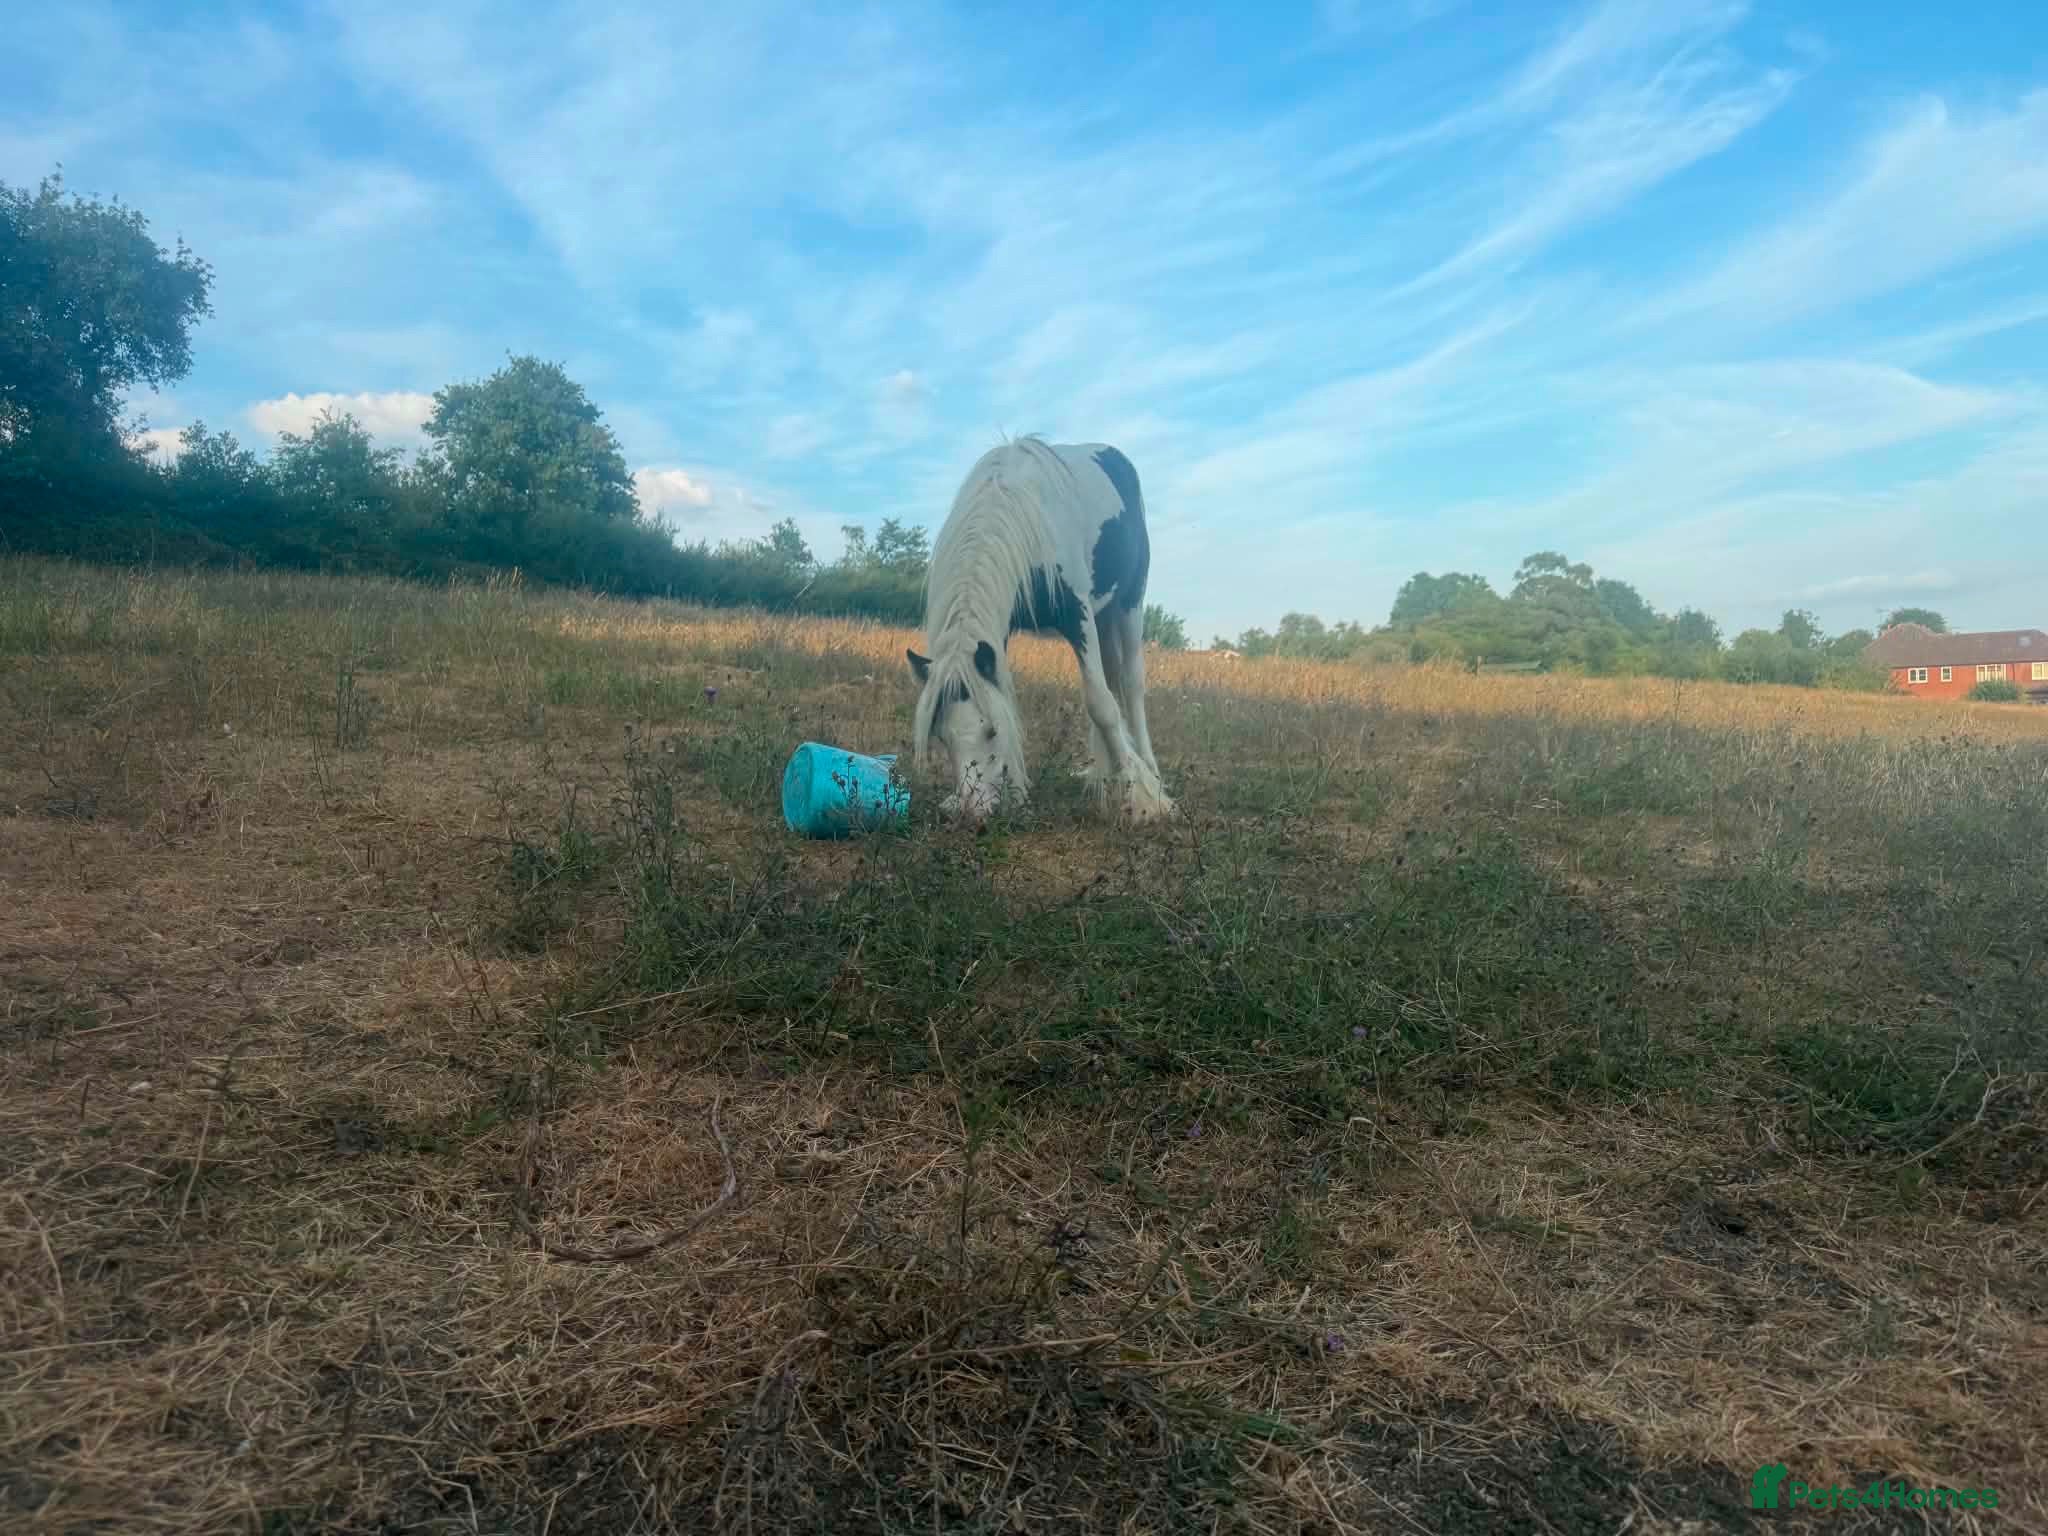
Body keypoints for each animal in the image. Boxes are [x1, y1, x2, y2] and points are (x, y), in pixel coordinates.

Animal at [906, 436, 1175, 827]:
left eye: (991, 730)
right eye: (941, 736)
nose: (974, 813)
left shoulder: (1078, 614)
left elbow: (1101, 704)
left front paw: (1139, 798)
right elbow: (1008, 695)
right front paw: (1017, 794)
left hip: (1129, 603)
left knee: (1130, 684)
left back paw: (1148, 771)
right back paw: (1101, 774)